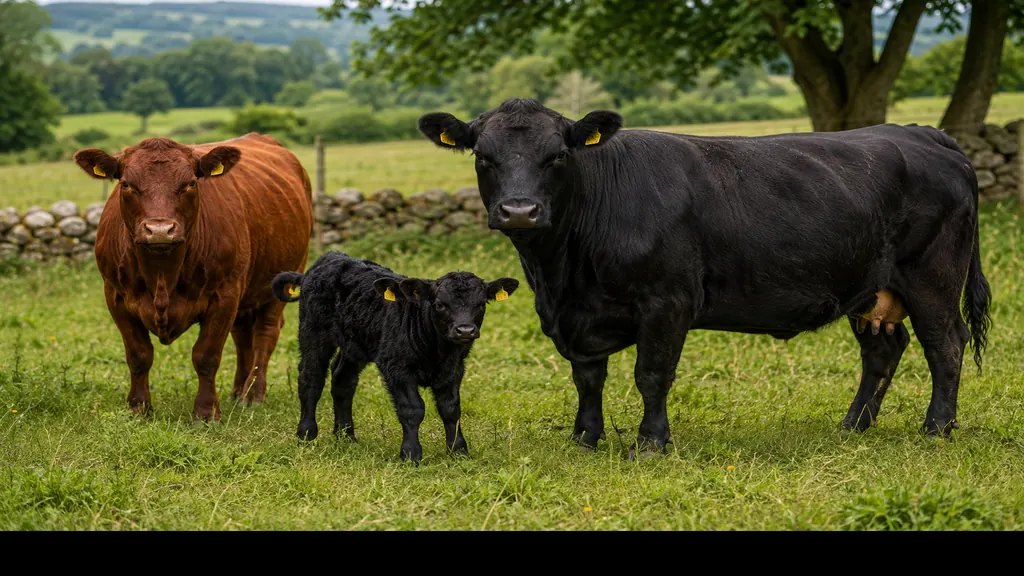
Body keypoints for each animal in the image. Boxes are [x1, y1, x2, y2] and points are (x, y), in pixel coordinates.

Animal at [72, 133, 314, 420]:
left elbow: (206, 356)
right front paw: (139, 408)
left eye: (190, 183)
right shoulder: (116, 296)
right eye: (126, 184)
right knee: (243, 336)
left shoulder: (224, 295)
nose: (160, 230)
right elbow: (139, 355)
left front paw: (206, 412)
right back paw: (237, 392)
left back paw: (253, 394)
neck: (162, 276)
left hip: (283, 281)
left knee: (265, 335)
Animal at [272, 251, 519, 463]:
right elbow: (412, 409)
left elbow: (450, 409)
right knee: (311, 379)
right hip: (313, 332)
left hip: (354, 344)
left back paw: (346, 436)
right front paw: (411, 454)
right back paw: (306, 435)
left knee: (343, 381)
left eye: (481, 304)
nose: (465, 330)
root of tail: (326, 260)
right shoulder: (396, 367)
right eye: (440, 304)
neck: (437, 351)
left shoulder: (454, 369)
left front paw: (458, 451)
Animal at [417, 98, 992, 457]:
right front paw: (585, 439)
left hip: (933, 277)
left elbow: (651, 375)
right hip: (869, 288)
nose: (520, 211)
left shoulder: (666, 301)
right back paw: (853, 427)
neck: (561, 274)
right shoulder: (577, 316)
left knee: (946, 344)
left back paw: (937, 429)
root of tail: (922, 134)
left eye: (557, 155)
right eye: (483, 156)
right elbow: (588, 377)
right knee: (883, 350)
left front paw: (651, 444)